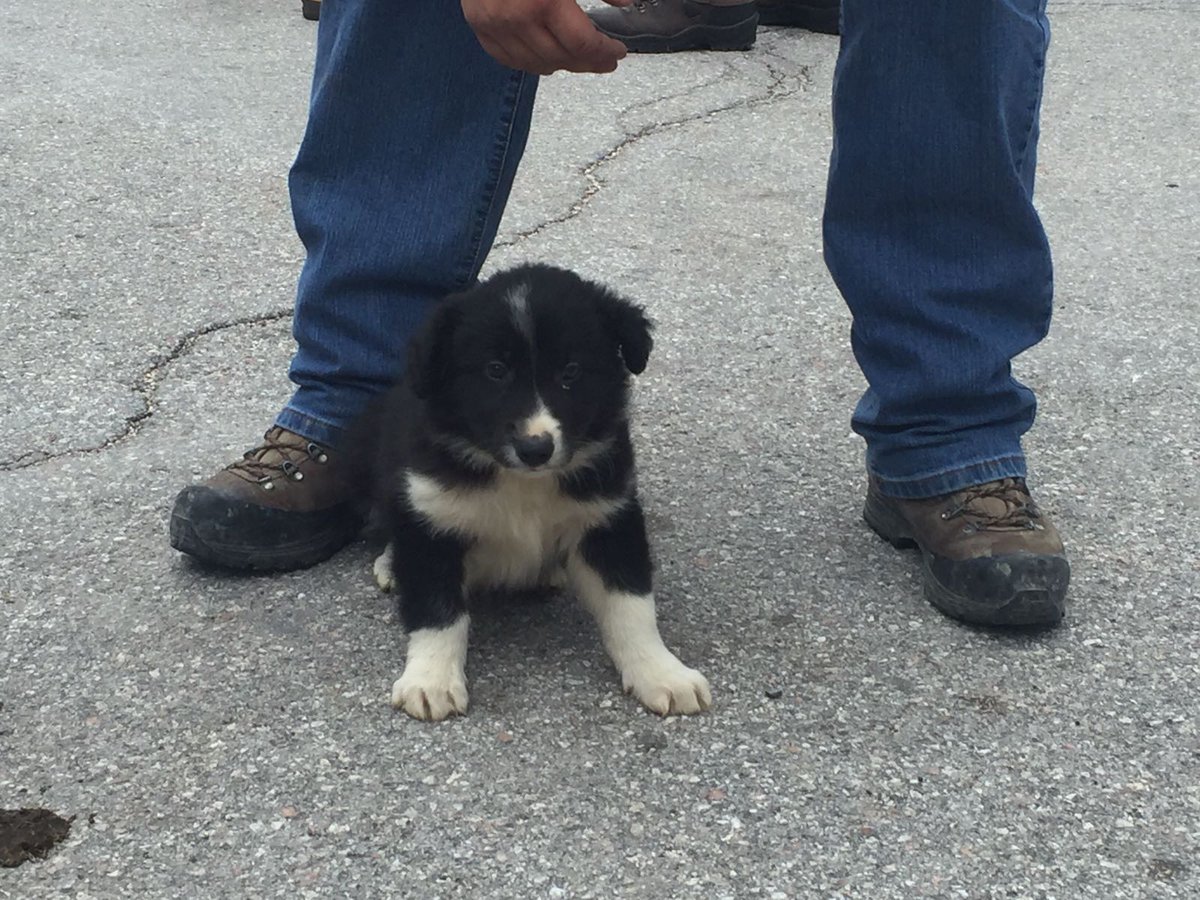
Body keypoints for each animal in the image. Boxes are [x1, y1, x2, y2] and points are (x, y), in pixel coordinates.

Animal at [355, 264, 710, 724]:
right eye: (495, 370)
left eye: (571, 372)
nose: (535, 449)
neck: (522, 481)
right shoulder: (432, 521)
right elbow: (437, 611)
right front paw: (431, 681)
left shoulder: (608, 519)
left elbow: (631, 605)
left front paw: (662, 673)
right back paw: (389, 564)